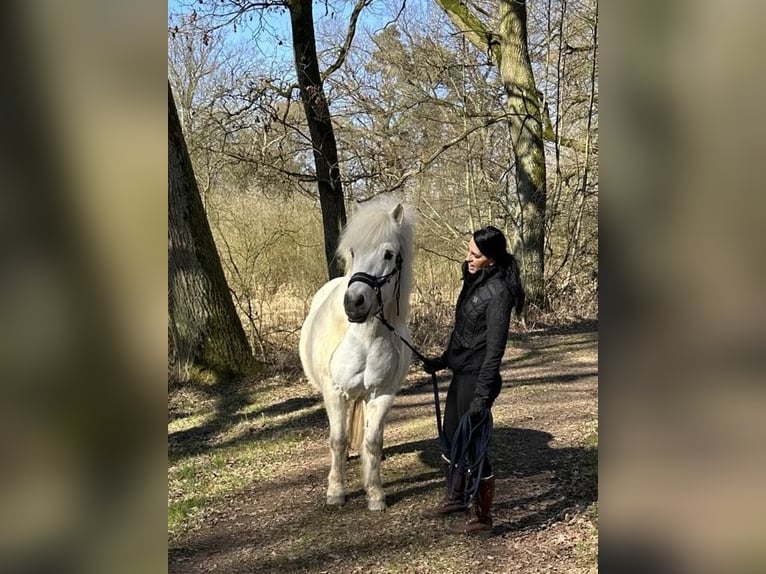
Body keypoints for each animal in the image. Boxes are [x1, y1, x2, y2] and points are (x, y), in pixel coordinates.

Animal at [299, 197, 415, 511]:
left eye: (389, 254)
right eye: (352, 251)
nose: (354, 303)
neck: (365, 338)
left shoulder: (382, 394)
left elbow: (373, 442)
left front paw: (374, 493)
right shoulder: (334, 392)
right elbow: (337, 440)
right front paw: (335, 492)